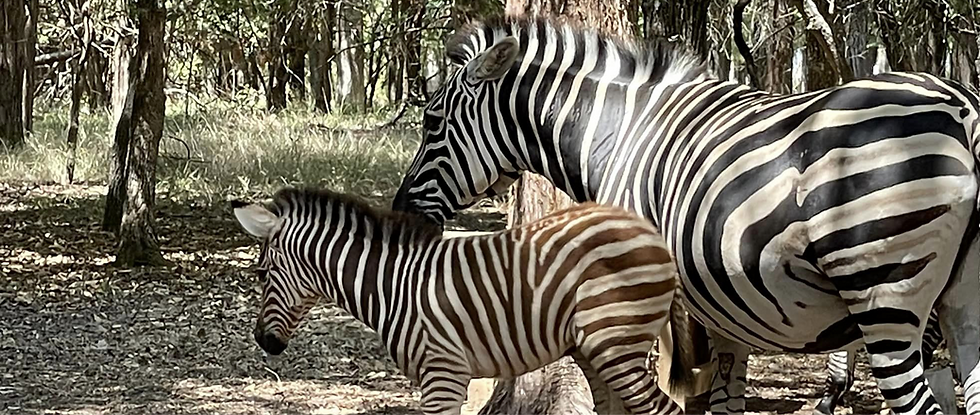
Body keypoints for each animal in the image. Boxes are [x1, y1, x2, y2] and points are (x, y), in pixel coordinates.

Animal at [232, 187, 697, 415]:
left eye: (261, 274)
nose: (262, 341)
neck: (392, 285)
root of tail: (650, 232)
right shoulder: (445, 379)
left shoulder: (442, 373)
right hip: (594, 350)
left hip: (616, 342)